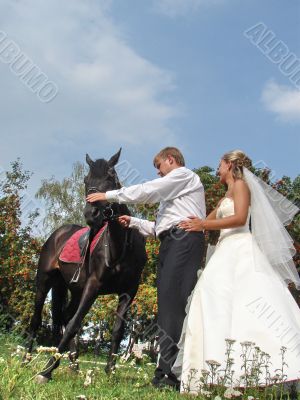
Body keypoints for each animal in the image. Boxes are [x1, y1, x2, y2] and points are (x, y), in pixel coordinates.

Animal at [27, 148, 147, 382]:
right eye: (86, 179)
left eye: (110, 177)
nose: (92, 214)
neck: (120, 246)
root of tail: (58, 234)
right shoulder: (94, 285)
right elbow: (75, 323)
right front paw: (46, 371)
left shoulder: (129, 291)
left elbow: (118, 330)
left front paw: (110, 371)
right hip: (44, 281)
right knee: (37, 319)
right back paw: (26, 360)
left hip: (72, 289)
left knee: (64, 317)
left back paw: (73, 364)